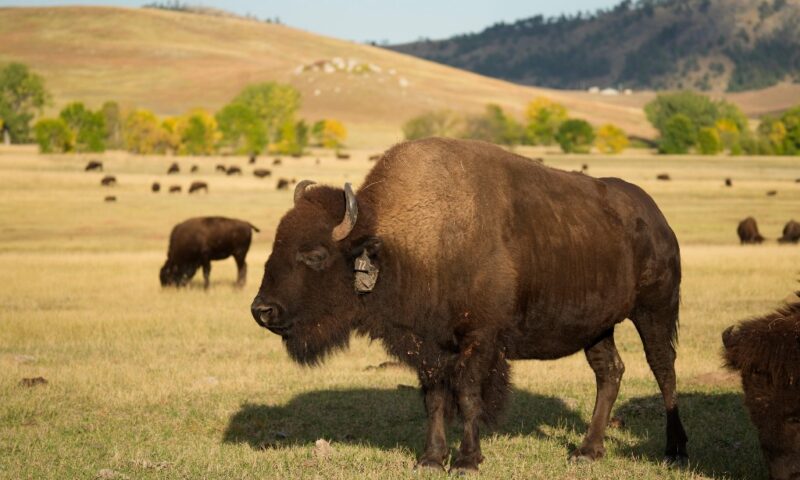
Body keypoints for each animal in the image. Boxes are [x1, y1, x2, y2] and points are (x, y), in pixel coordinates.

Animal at [250, 138, 688, 472]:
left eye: (315, 255)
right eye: (276, 245)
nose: (262, 311)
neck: (403, 241)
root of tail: (657, 218)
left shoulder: (479, 340)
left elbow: (467, 396)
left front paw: (467, 460)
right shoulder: (428, 347)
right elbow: (435, 400)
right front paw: (430, 459)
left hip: (654, 311)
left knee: (663, 368)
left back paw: (675, 449)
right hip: (598, 327)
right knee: (609, 372)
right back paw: (588, 451)